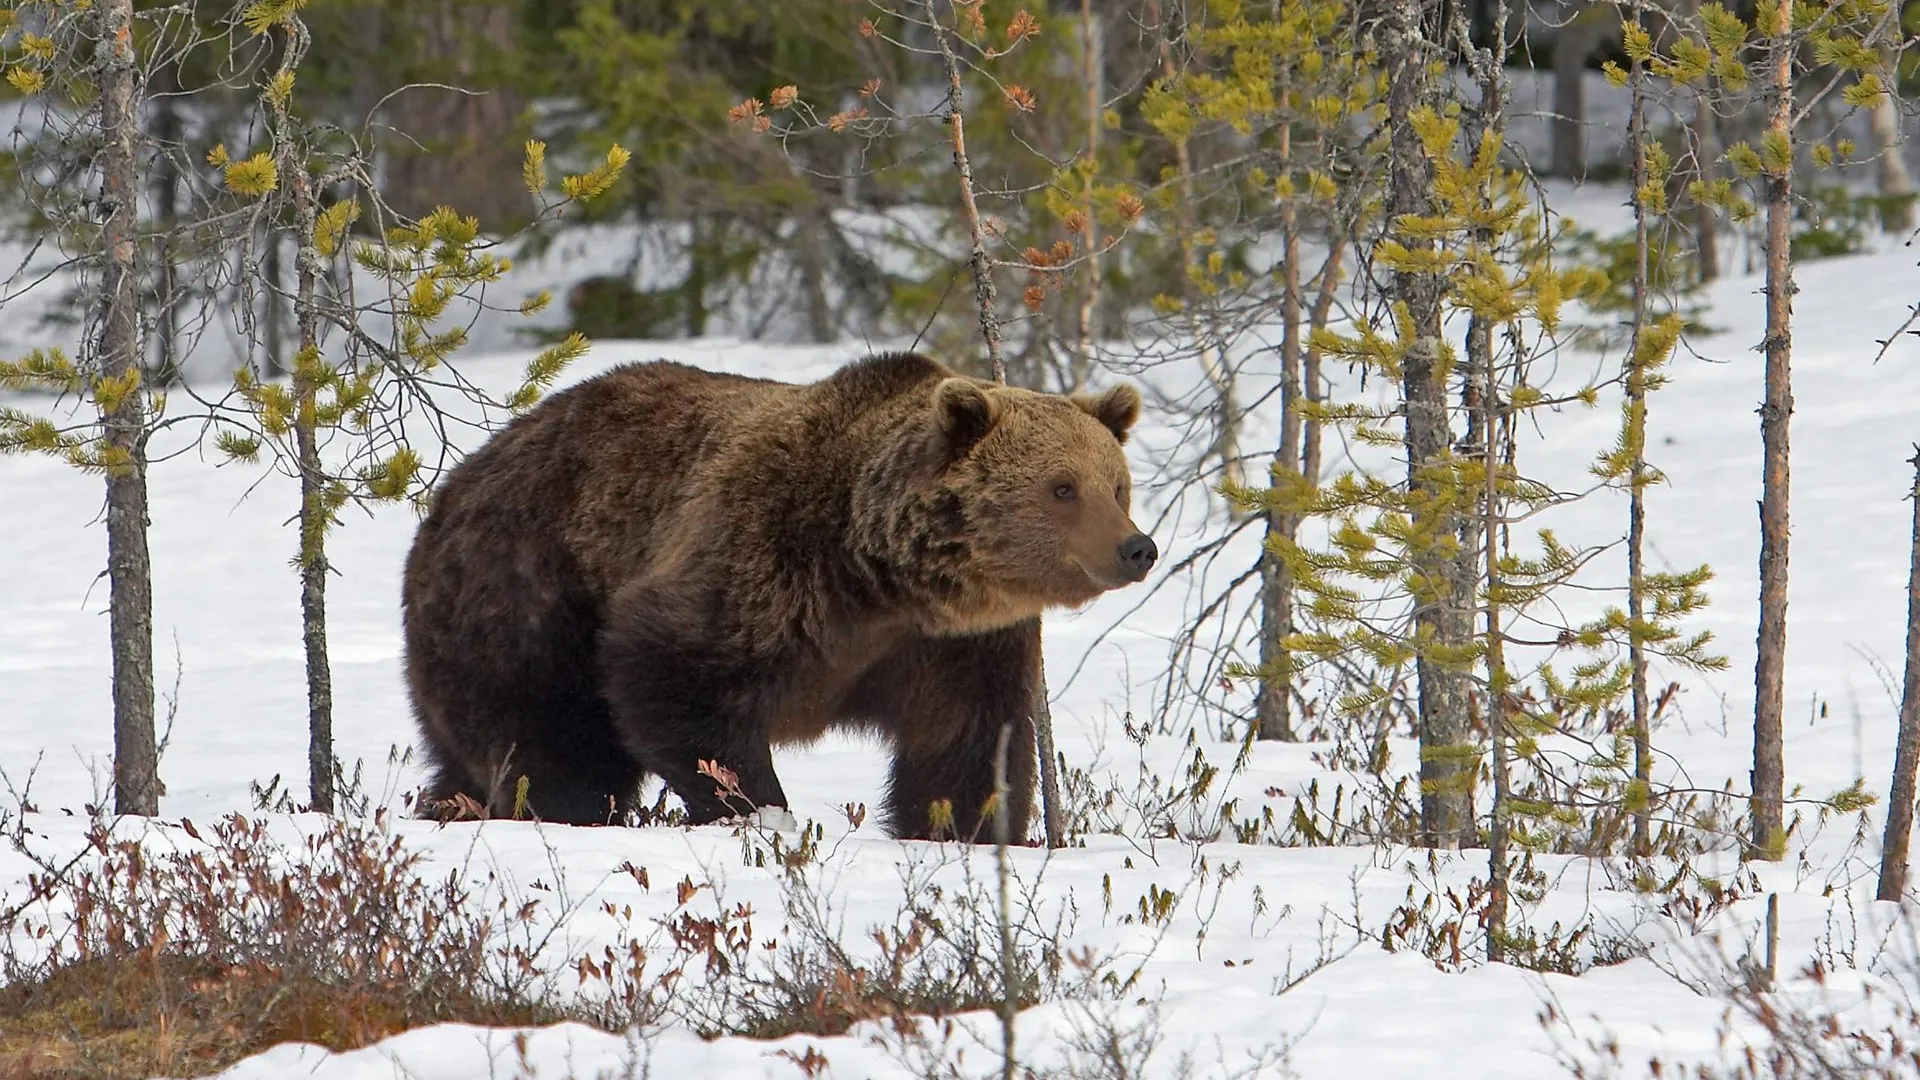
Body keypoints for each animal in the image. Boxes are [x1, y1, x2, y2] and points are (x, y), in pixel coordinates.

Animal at [399, 350, 1156, 841]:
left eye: (1117, 485)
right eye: (1062, 487)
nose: (1136, 548)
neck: (881, 578)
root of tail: (458, 480)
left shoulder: (954, 645)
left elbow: (967, 739)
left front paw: (966, 827)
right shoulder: (766, 558)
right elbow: (675, 674)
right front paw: (760, 811)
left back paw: (448, 805)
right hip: (527, 591)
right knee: (552, 738)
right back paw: (560, 808)